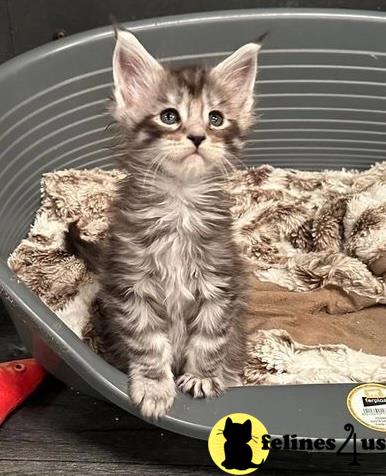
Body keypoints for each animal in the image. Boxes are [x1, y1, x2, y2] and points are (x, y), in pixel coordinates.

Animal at [68, 29, 260, 418]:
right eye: (170, 116)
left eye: (216, 118)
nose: (198, 136)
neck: (179, 203)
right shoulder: (132, 287)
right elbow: (148, 343)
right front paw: (154, 387)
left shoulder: (220, 282)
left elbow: (210, 337)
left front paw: (202, 376)